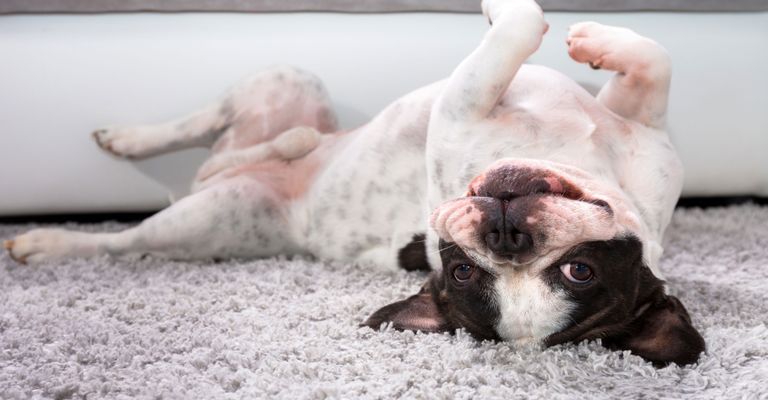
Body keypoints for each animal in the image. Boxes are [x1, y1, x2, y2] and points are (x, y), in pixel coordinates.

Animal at [6, 0, 704, 364]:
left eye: (579, 272)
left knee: (122, 241)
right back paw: (134, 139)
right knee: (212, 129)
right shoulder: (641, 124)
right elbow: (654, 59)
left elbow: (520, 30)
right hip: (291, 83)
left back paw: (47, 241)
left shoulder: (466, 105)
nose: (508, 233)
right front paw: (593, 39)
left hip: (211, 217)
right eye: (462, 272)